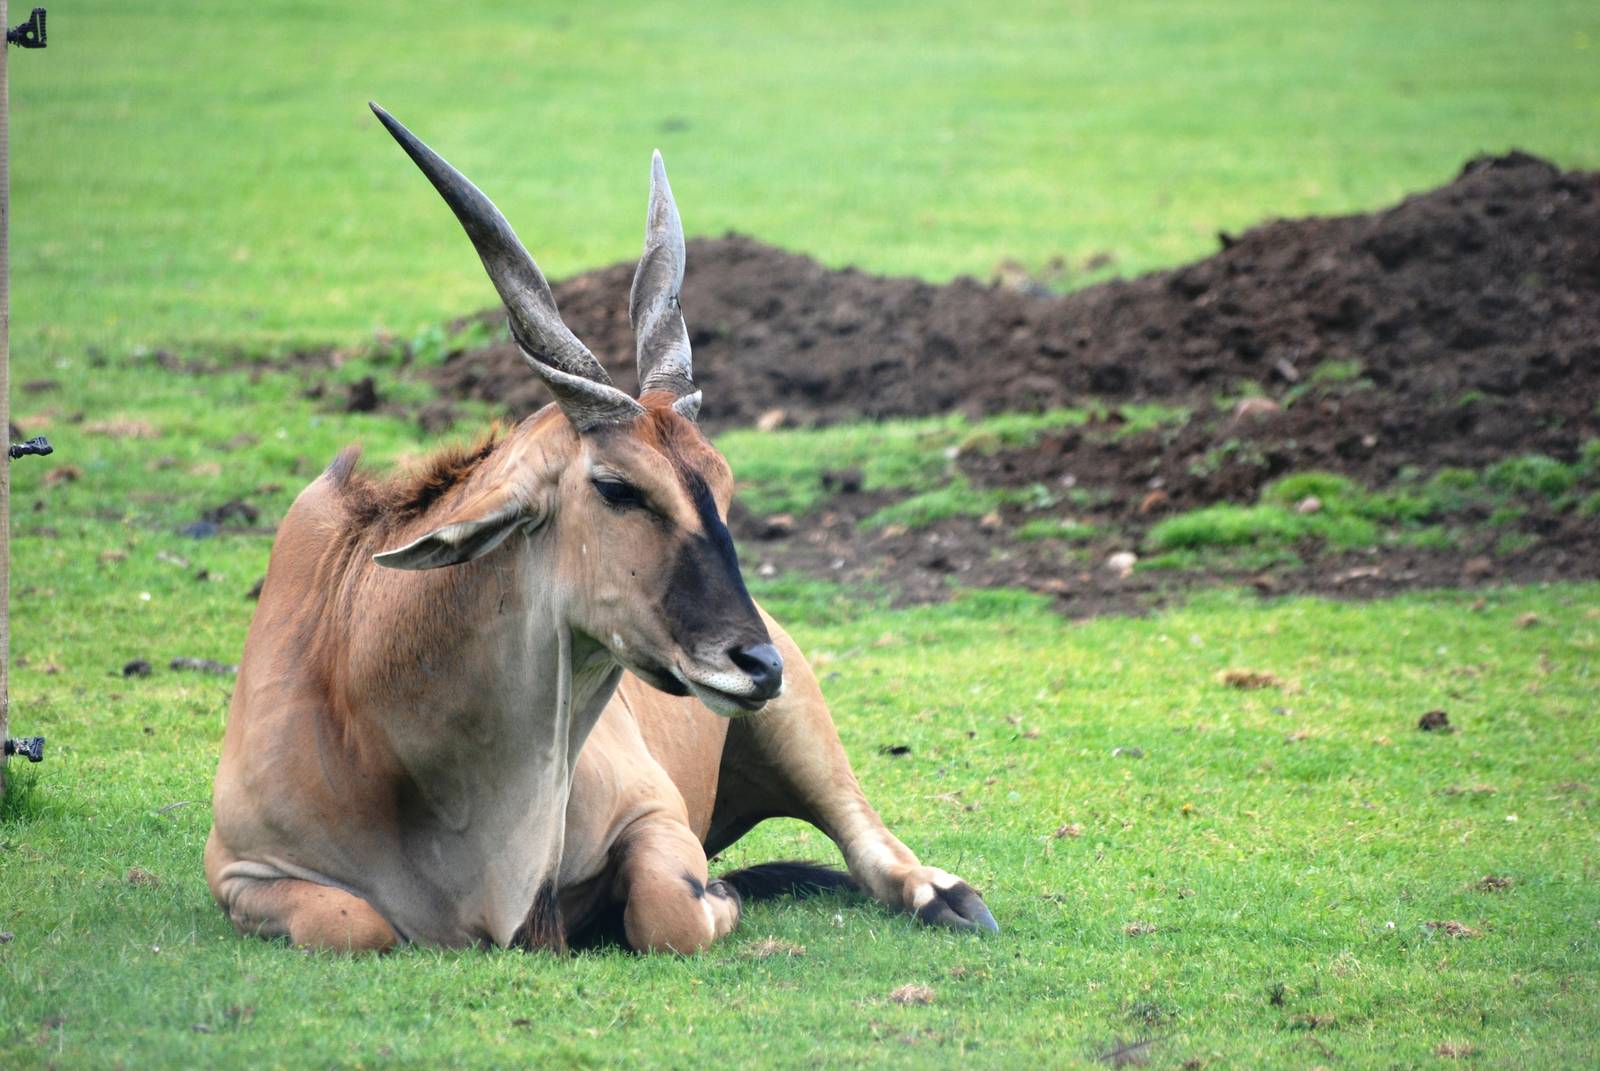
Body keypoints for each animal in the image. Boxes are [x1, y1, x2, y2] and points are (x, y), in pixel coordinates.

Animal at [204, 104, 997, 954]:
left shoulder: (655, 816)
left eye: (722, 484)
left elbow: (671, 909)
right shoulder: (239, 869)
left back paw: (945, 895)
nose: (756, 663)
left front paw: (719, 896)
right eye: (618, 487)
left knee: (865, 835)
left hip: (801, 727)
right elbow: (354, 922)